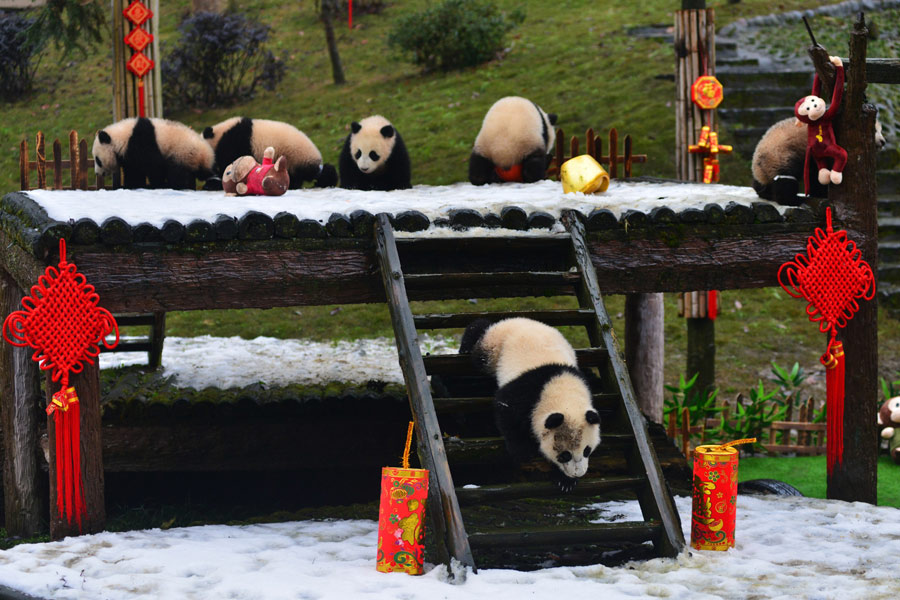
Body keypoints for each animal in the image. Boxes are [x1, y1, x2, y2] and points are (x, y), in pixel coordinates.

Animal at [460, 316, 600, 490]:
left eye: (587, 450)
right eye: (565, 455)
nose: (578, 473)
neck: (561, 388)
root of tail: (520, 319)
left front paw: (565, 481)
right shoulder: (527, 390)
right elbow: (506, 410)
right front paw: (523, 450)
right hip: (495, 344)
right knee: (480, 341)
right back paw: (467, 345)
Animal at [752, 116, 884, 205]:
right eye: (875, 130)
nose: (883, 142)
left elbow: (815, 174)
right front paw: (823, 193)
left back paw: (765, 193)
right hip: (781, 155)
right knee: (786, 180)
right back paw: (793, 200)